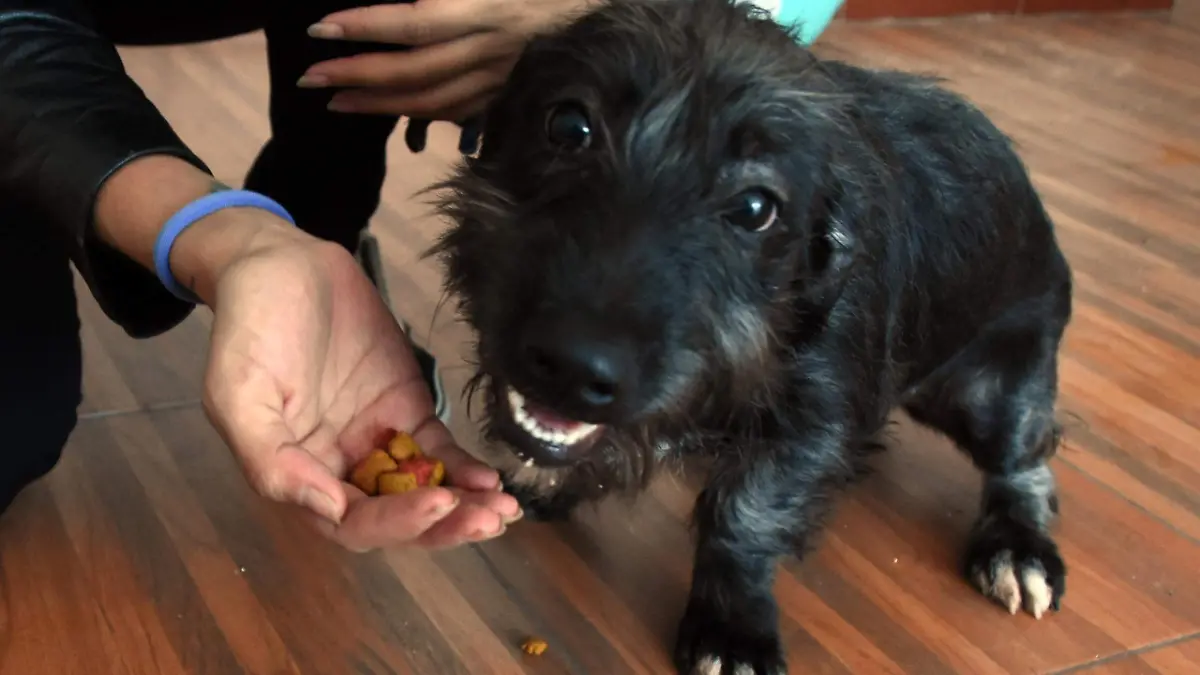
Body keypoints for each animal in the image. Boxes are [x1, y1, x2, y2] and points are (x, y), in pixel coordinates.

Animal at [427, 2, 1075, 667]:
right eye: (568, 125)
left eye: (755, 208)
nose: (575, 366)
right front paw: (550, 483)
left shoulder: (807, 425)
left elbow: (746, 515)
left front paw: (732, 627)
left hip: (985, 391)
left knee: (1026, 459)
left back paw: (1017, 549)